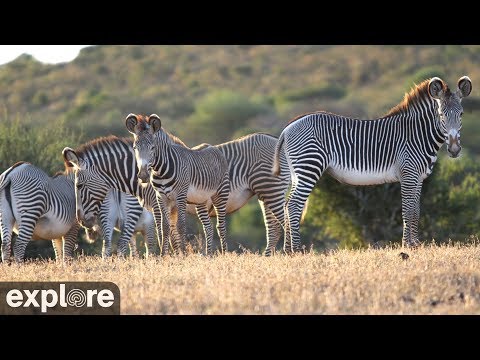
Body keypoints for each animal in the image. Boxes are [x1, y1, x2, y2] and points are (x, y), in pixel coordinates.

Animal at [125, 114, 231, 255]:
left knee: (221, 226)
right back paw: (208, 255)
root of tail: (213, 147)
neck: (160, 171)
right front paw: (163, 255)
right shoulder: (161, 197)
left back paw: (224, 253)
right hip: (200, 199)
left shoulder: (180, 196)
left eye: (153, 148)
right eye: (135, 148)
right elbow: (165, 226)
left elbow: (180, 225)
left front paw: (183, 254)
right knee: (208, 226)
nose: (143, 175)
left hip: (221, 194)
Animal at [274, 76, 472, 250]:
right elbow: (407, 210)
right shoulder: (408, 174)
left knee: (287, 205)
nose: (454, 150)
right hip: (309, 166)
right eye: (441, 115)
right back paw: (297, 250)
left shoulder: (419, 178)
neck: (417, 134)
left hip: (297, 172)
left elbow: (416, 210)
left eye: (461, 114)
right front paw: (407, 245)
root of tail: (287, 128)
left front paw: (416, 244)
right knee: (294, 205)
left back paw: (288, 251)